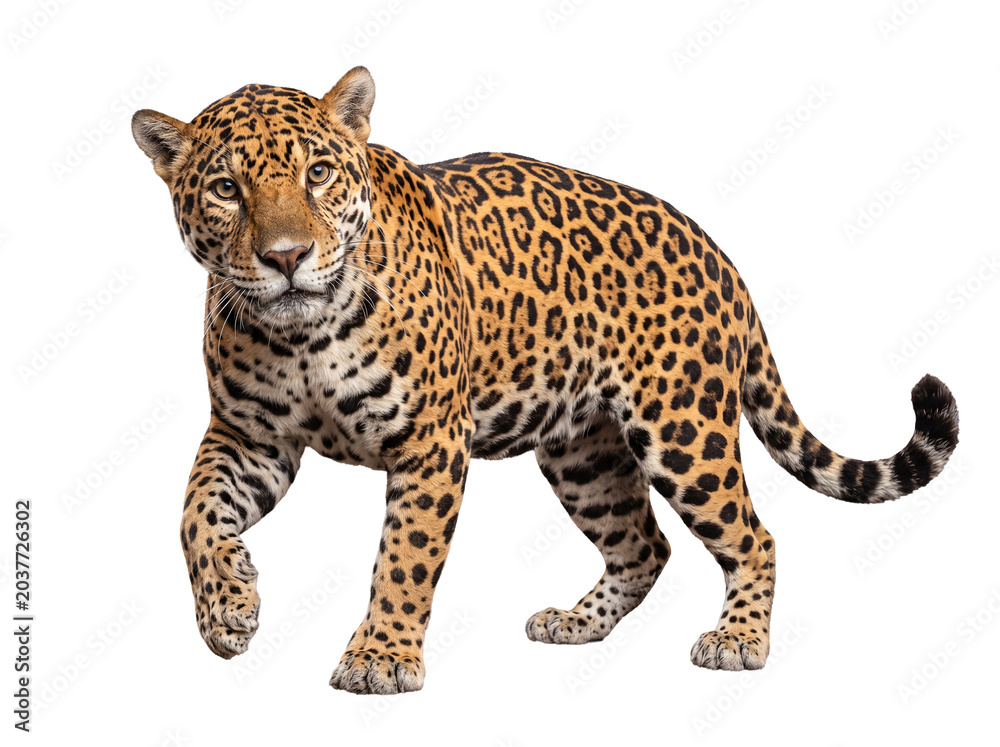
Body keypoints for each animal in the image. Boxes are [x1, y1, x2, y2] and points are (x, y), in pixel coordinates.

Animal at [131, 66, 960, 694]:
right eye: (226, 189)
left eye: (318, 173)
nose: (285, 257)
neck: (301, 335)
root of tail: (719, 255)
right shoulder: (249, 437)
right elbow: (194, 515)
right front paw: (229, 603)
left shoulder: (430, 444)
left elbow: (404, 556)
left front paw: (381, 656)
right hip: (583, 452)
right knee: (643, 544)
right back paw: (576, 622)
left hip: (682, 429)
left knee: (754, 535)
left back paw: (738, 640)